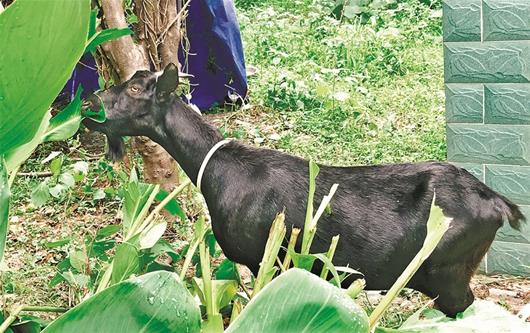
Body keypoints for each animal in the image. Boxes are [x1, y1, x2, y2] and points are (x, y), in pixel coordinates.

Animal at [83, 63, 524, 316]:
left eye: (136, 90)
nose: (89, 104)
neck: (220, 171)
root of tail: (499, 203)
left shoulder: (270, 259)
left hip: (447, 272)